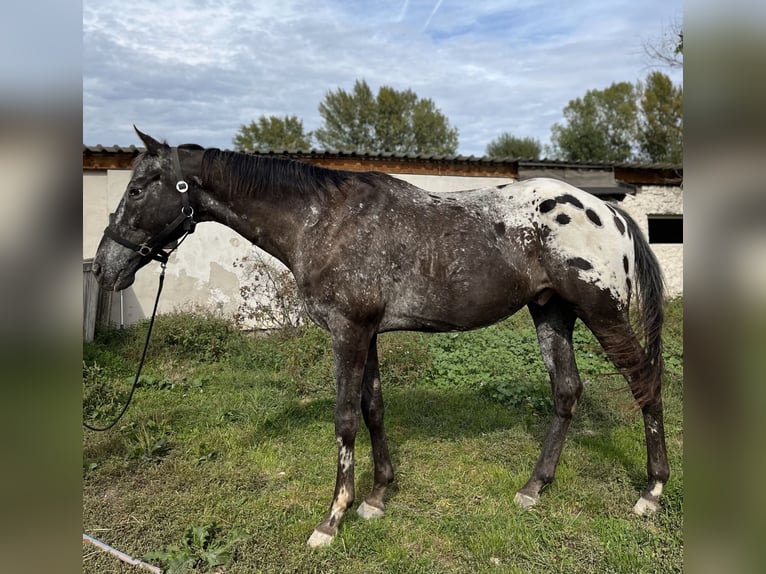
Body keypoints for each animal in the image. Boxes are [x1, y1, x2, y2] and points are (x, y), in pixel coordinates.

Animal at [94, 129, 672, 548]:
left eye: (138, 189)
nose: (103, 267)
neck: (322, 221)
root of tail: (613, 212)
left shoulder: (347, 332)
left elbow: (345, 419)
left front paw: (332, 519)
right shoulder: (366, 333)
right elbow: (373, 409)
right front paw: (377, 497)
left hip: (602, 312)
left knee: (644, 381)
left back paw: (652, 491)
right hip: (552, 313)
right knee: (567, 392)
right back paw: (534, 488)